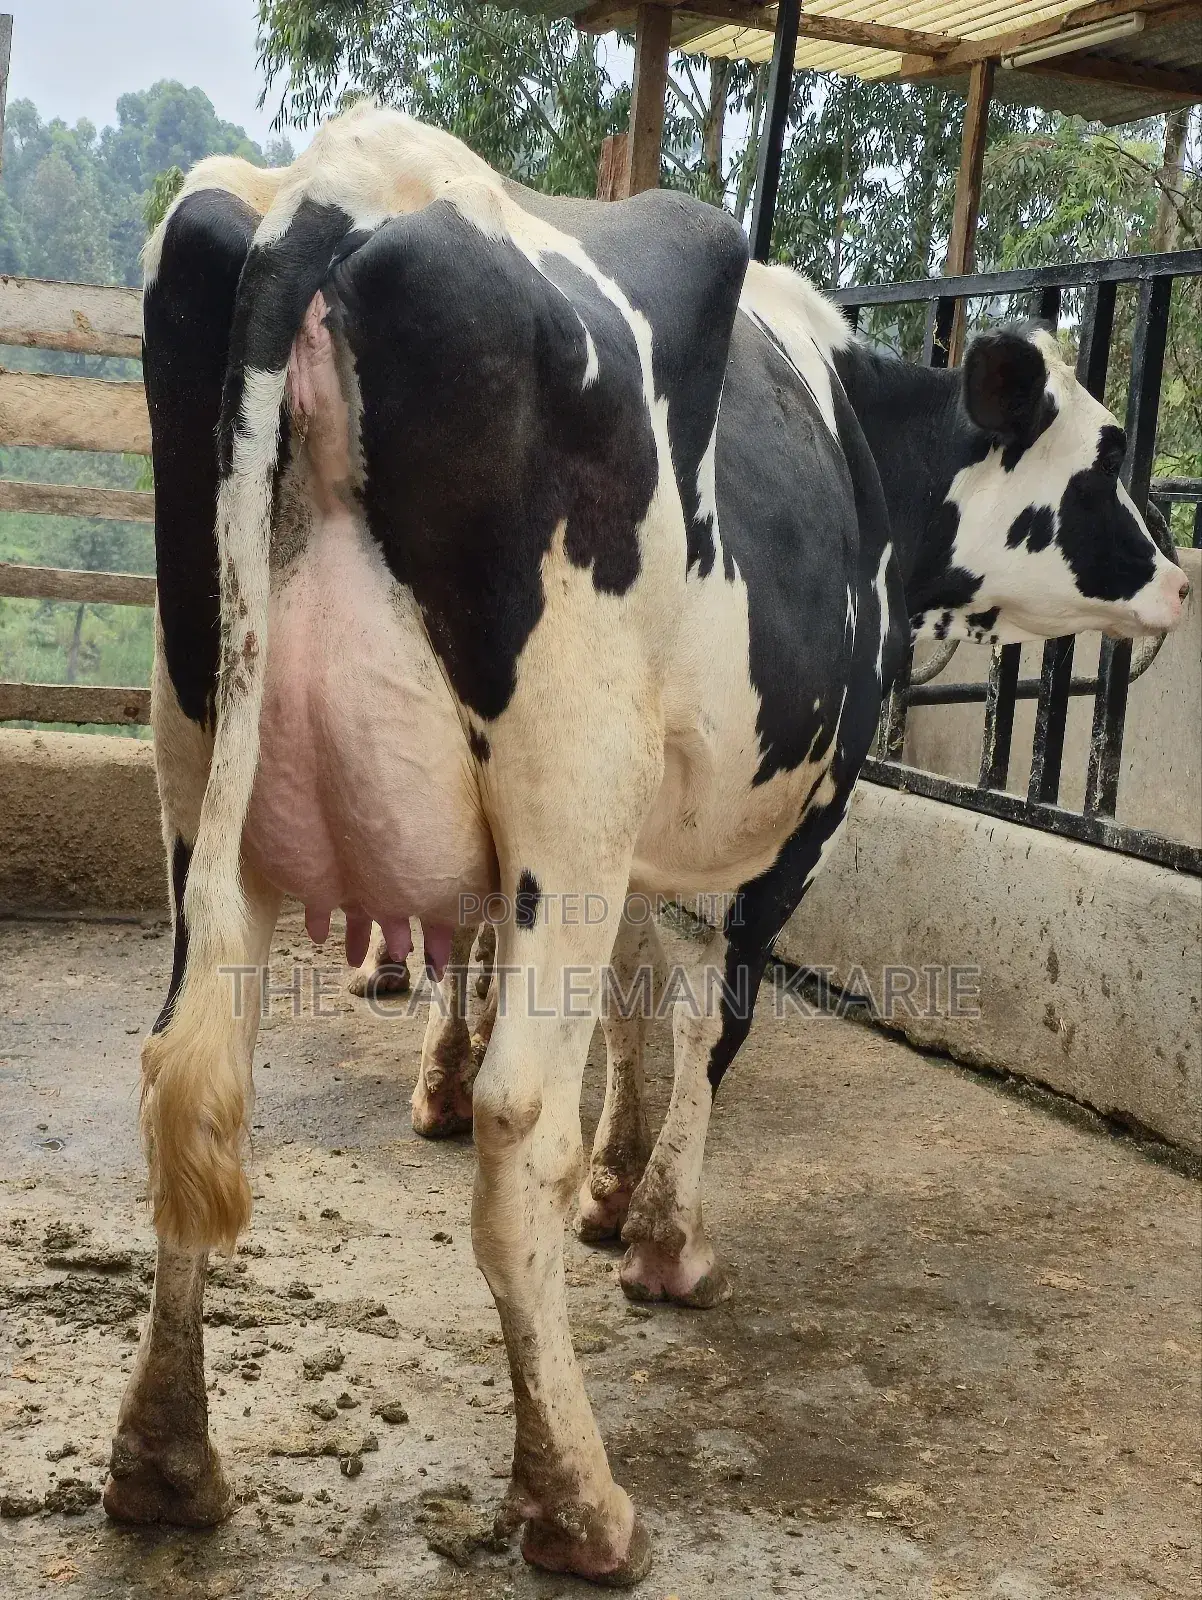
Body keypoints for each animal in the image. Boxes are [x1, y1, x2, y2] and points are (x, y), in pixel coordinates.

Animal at [104, 104, 1188, 1589]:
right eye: (1105, 453)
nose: (1177, 578)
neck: (867, 444)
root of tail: (337, 188)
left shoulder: (627, 833)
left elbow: (638, 987)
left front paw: (619, 1186)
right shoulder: (807, 799)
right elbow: (713, 1011)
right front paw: (663, 1235)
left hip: (209, 762)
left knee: (188, 1071)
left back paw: (164, 1460)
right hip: (564, 776)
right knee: (515, 1123)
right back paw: (576, 1496)